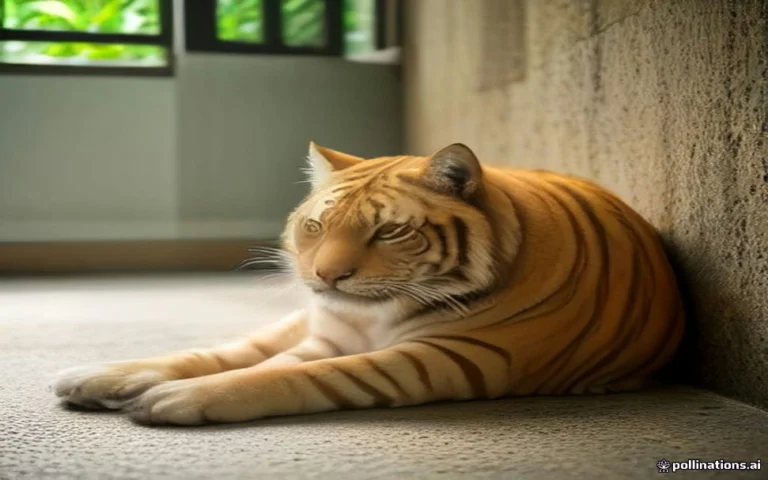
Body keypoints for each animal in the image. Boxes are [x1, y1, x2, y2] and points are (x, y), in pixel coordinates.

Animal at [52, 142, 685, 426]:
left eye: (390, 231)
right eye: (316, 226)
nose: (326, 275)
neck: (377, 313)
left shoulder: (457, 356)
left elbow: (293, 376)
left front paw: (183, 399)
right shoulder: (326, 332)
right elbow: (249, 361)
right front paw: (141, 384)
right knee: (230, 348)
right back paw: (97, 376)